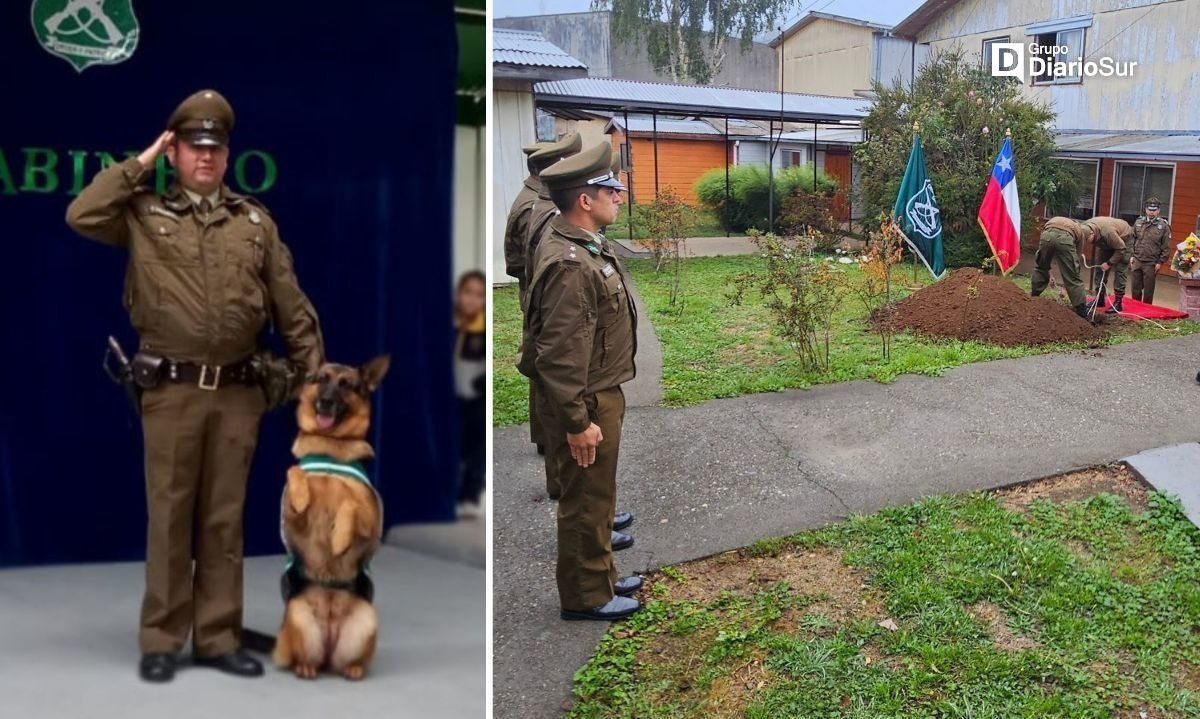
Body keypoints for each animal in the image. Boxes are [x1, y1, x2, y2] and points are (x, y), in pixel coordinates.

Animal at [272, 355, 388, 681]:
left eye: (346, 385)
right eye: (320, 379)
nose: (325, 402)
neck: (330, 450)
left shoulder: (371, 519)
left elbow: (350, 502)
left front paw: (339, 539)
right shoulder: (295, 520)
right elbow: (293, 470)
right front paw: (302, 494)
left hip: (366, 620)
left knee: (346, 661)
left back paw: (354, 669)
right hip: (297, 615)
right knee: (303, 657)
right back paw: (305, 667)